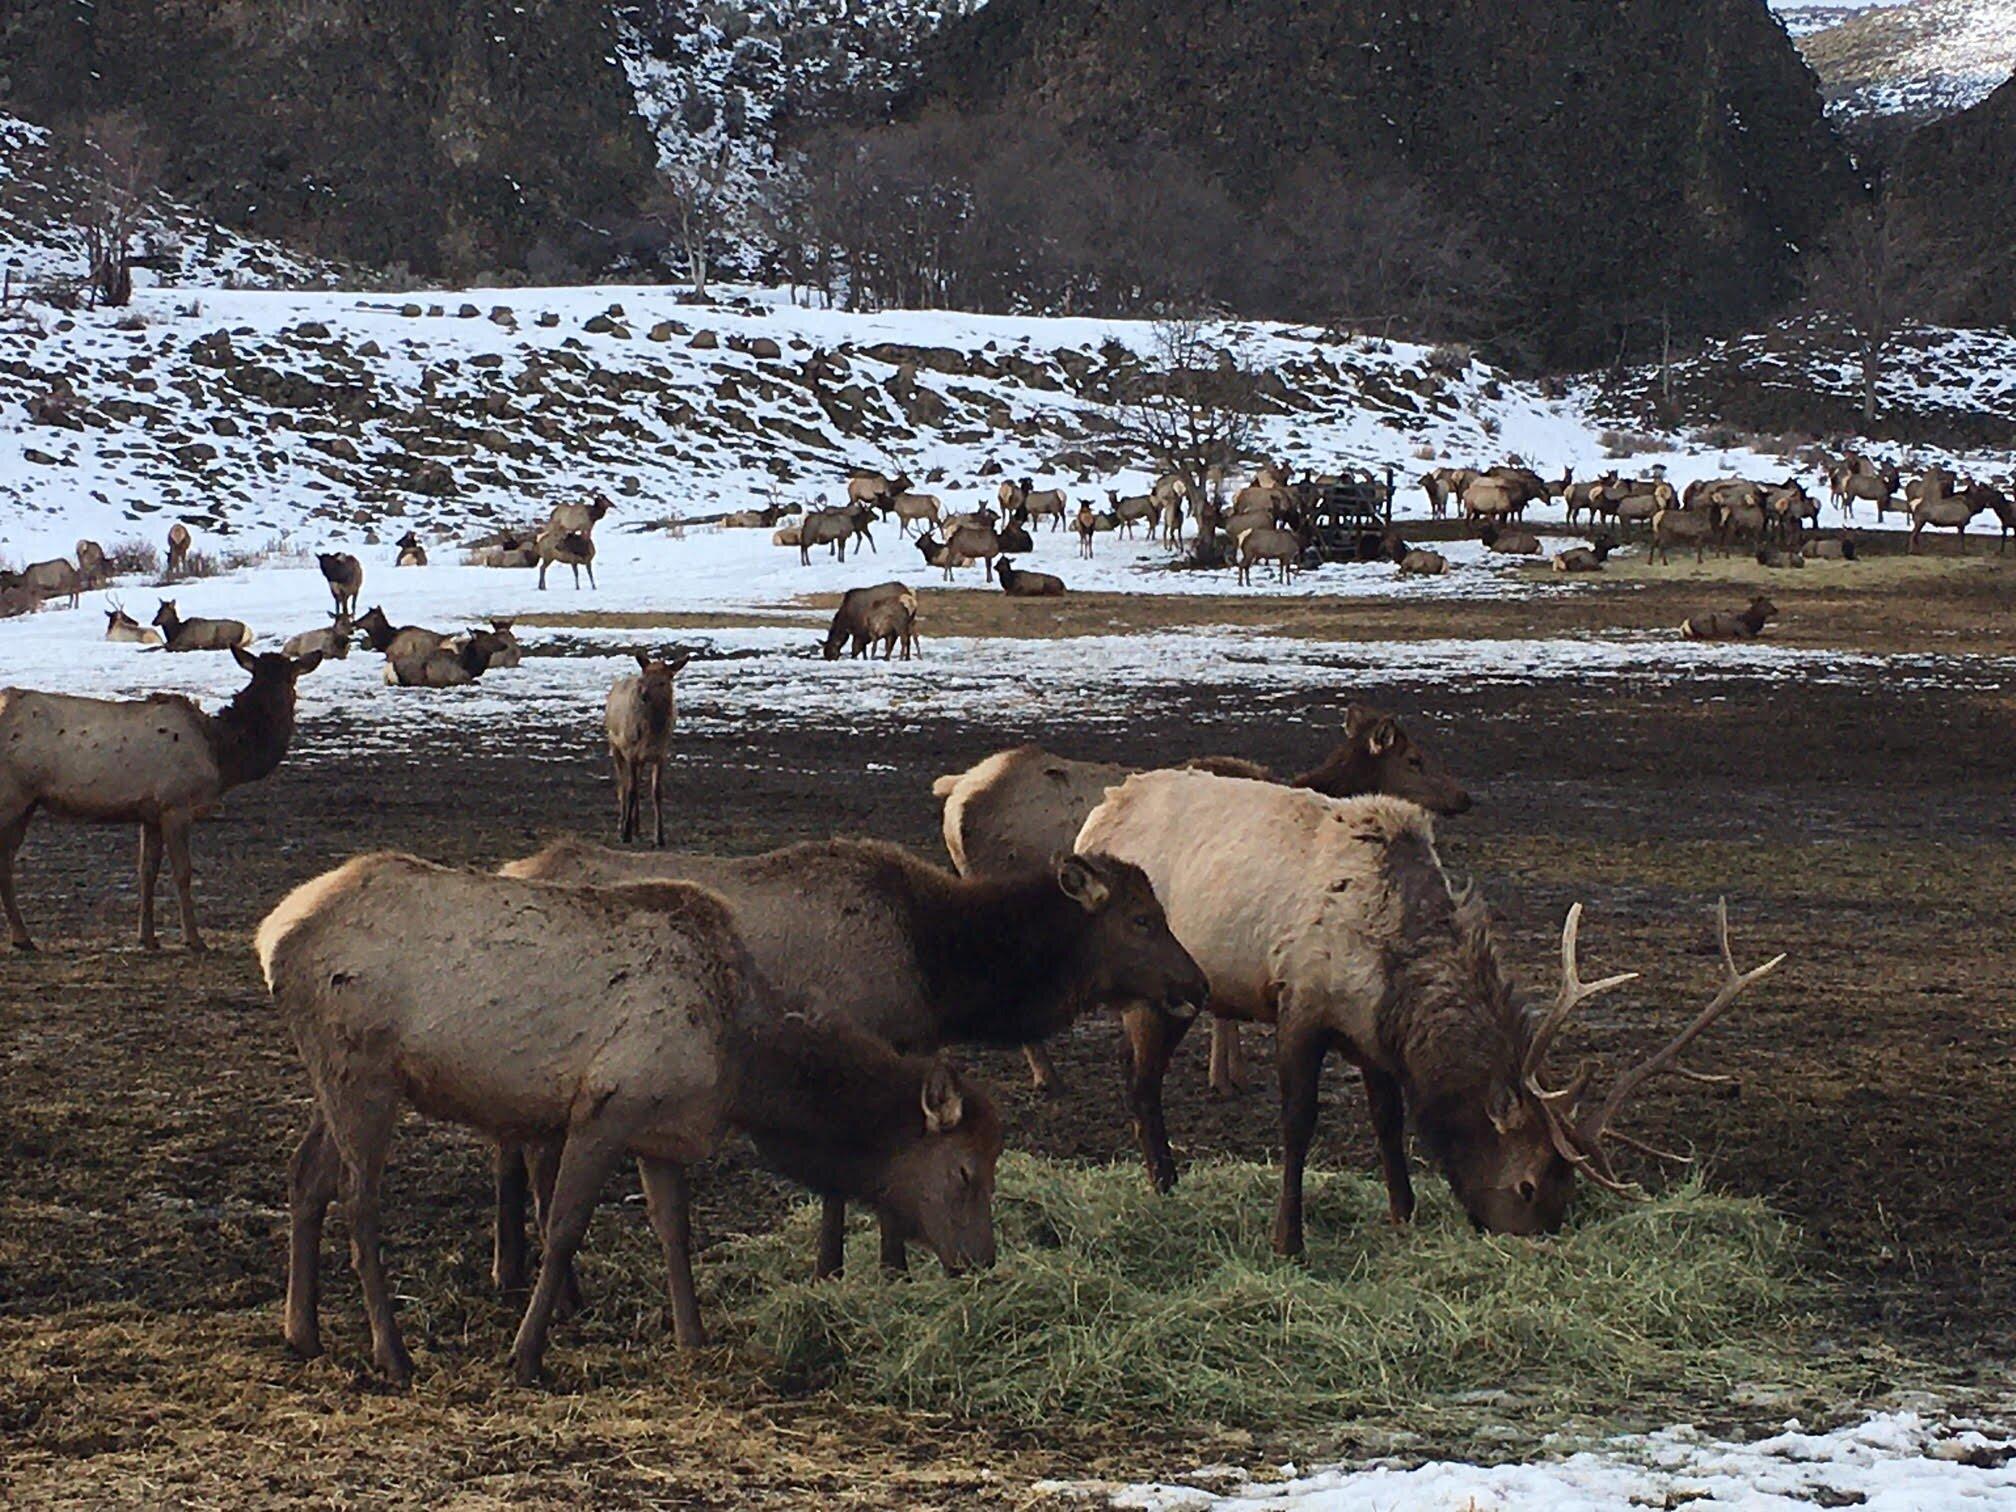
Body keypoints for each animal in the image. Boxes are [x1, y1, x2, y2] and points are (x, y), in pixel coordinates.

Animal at [2, 645, 322, 951]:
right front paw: (194, 940)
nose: (277, 708)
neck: (221, 755)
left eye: (289, 678)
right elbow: (183, 872)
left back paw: (23, 938)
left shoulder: (150, 813)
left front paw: (148, 938)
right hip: (12, 797)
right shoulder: (175, 804)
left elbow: (147, 872)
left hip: (26, 804)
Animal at [256, 854, 1003, 1387]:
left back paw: (303, 1332)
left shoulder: (661, 1131)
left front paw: (693, 1335)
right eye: (966, 1171)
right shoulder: (608, 1105)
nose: (984, 1262)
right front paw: (526, 1356)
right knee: (359, 1200)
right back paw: (392, 1353)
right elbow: (562, 1226)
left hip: (340, 1078)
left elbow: (674, 1231)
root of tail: (273, 936)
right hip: (363, 1072)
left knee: (305, 1175)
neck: (742, 1067)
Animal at [600, 645, 689, 846]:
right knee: (623, 785)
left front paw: (660, 837)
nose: (643, 695)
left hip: (639, 758)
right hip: (615, 746)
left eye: (663, 682)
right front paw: (625, 834)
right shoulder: (631, 752)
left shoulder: (661, 755)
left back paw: (637, 828)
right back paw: (623, 825)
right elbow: (631, 790)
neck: (652, 734)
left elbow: (657, 792)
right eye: (644, 679)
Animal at [1080, 774, 1790, 1249]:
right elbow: (1298, 1123)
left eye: (1570, 1190)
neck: (1393, 962)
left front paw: (1404, 1212)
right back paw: (1165, 1186)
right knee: (1140, 1083)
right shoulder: (1300, 1001)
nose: (1528, 1238)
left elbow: (1388, 1119)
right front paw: (1289, 1240)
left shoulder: (1370, 1034)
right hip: (1157, 983)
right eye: (1530, 1185)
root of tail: (1098, 813)